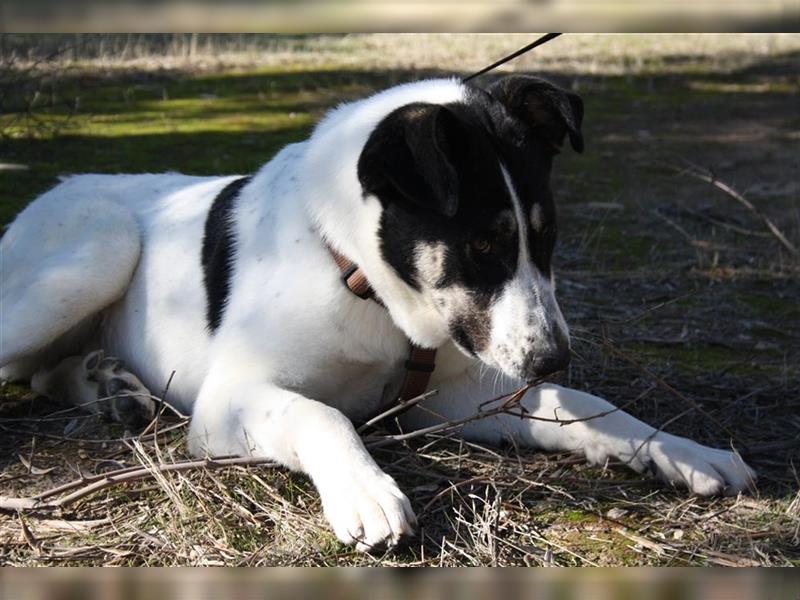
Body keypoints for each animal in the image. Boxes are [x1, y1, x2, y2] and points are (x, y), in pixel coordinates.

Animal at [0, 77, 756, 552]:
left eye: (545, 236)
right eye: (482, 244)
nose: (551, 359)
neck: (363, 282)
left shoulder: (448, 399)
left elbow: (590, 409)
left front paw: (683, 451)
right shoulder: (226, 401)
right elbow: (319, 413)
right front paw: (364, 490)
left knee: (39, 373)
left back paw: (106, 386)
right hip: (100, 247)